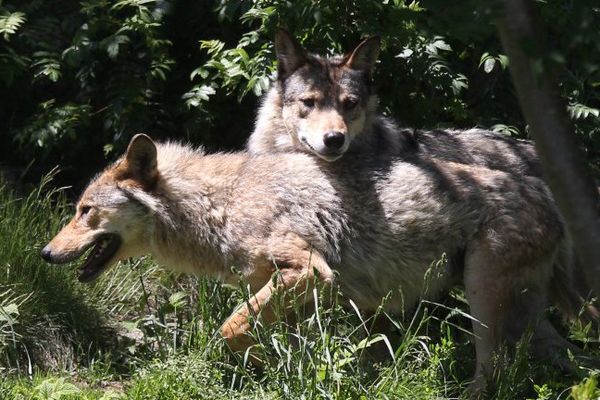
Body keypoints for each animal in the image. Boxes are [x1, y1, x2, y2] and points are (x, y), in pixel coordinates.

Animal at [41, 134, 592, 390]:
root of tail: (545, 193)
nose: (45, 254)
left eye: (84, 211)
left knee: (493, 375)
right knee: (570, 359)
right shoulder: (305, 293)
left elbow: (229, 328)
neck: (222, 204)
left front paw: (264, 367)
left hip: (484, 309)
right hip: (525, 320)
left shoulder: (311, 273)